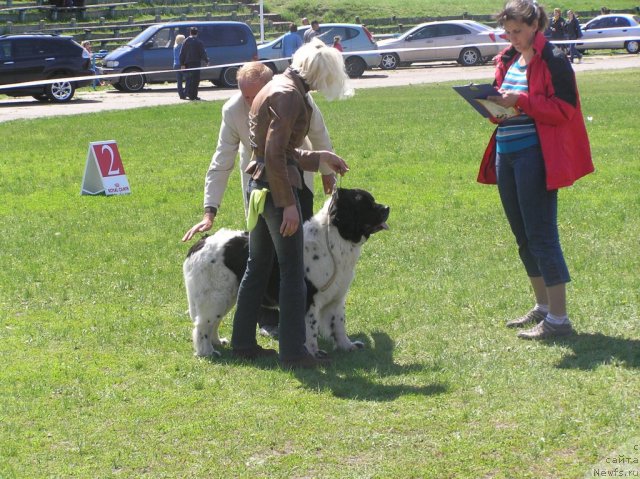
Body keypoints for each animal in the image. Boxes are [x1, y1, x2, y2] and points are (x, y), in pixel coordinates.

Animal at [181, 189, 390, 358]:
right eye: (367, 204)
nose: (387, 207)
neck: (333, 241)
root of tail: (201, 242)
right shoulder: (310, 299)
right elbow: (311, 329)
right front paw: (314, 353)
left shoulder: (337, 298)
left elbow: (338, 325)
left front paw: (348, 346)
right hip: (215, 296)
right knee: (201, 326)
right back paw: (207, 352)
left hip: (227, 296)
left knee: (212, 323)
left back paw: (217, 342)